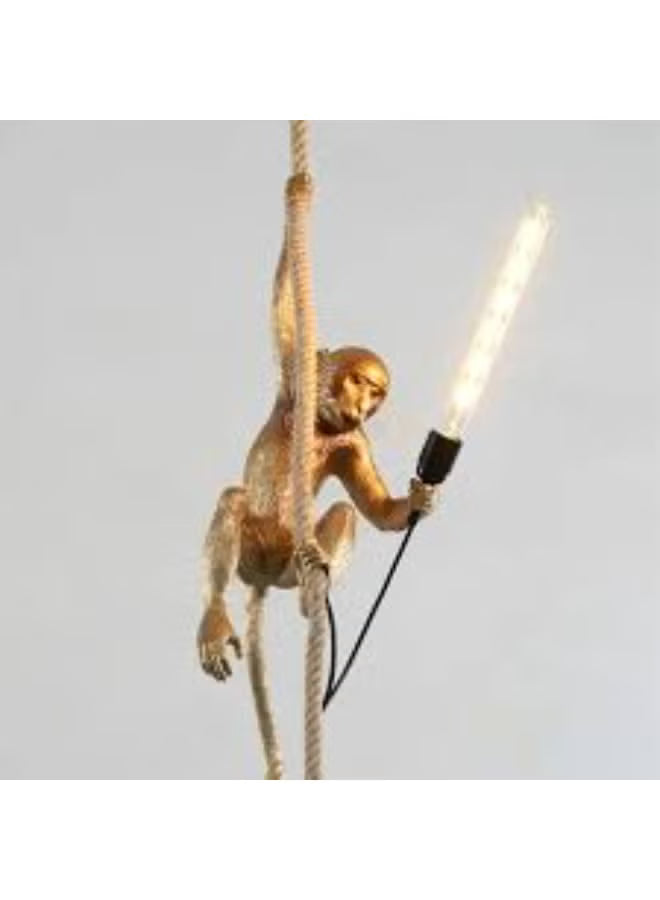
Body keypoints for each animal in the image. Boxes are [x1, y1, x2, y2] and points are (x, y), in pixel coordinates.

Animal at [198, 173, 436, 685]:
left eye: (376, 396)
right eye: (361, 382)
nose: (365, 406)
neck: (321, 424)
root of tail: (263, 583)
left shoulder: (355, 443)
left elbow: (375, 509)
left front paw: (420, 499)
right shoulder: (295, 370)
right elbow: (286, 305)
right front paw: (297, 195)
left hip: (284, 565)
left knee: (344, 513)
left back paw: (314, 591)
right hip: (250, 559)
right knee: (234, 501)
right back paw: (214, 621)